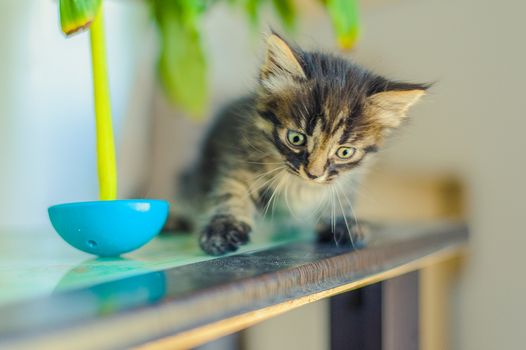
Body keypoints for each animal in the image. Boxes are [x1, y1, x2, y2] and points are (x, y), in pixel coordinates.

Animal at [175, 34, 432, 256]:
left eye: (344, 152)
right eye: (296, 138)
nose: (313, 174)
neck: (301, 187)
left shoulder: (347, 178)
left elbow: (340, 197)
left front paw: (341, 224)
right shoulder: (240, 154)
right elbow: (232, 189)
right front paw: (223, 228)